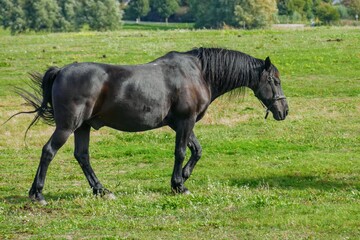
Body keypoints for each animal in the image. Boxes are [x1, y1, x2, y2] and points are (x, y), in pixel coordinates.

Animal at [15, 47, 288, 204]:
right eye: (274, 81)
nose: (284, 110)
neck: (198, 73)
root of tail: (61, 71)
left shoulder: (181, 124)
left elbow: (197, 150)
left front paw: (184, 177)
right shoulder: (185, 122)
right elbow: (181, 152)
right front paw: (179, 185)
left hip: (82, 127)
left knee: (82, 156)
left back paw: (101, 190)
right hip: (67, 126)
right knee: (49, 152)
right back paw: (38, 194)